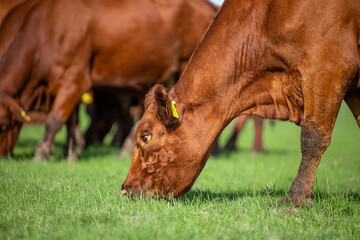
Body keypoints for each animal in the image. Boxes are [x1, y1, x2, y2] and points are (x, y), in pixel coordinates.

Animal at [0, 0, 217, 160]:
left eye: (2, 124)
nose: (3, 156)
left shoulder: (75, 79)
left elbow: (54, 119)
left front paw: (42, 153)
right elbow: (71, 120)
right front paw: (71, 151)